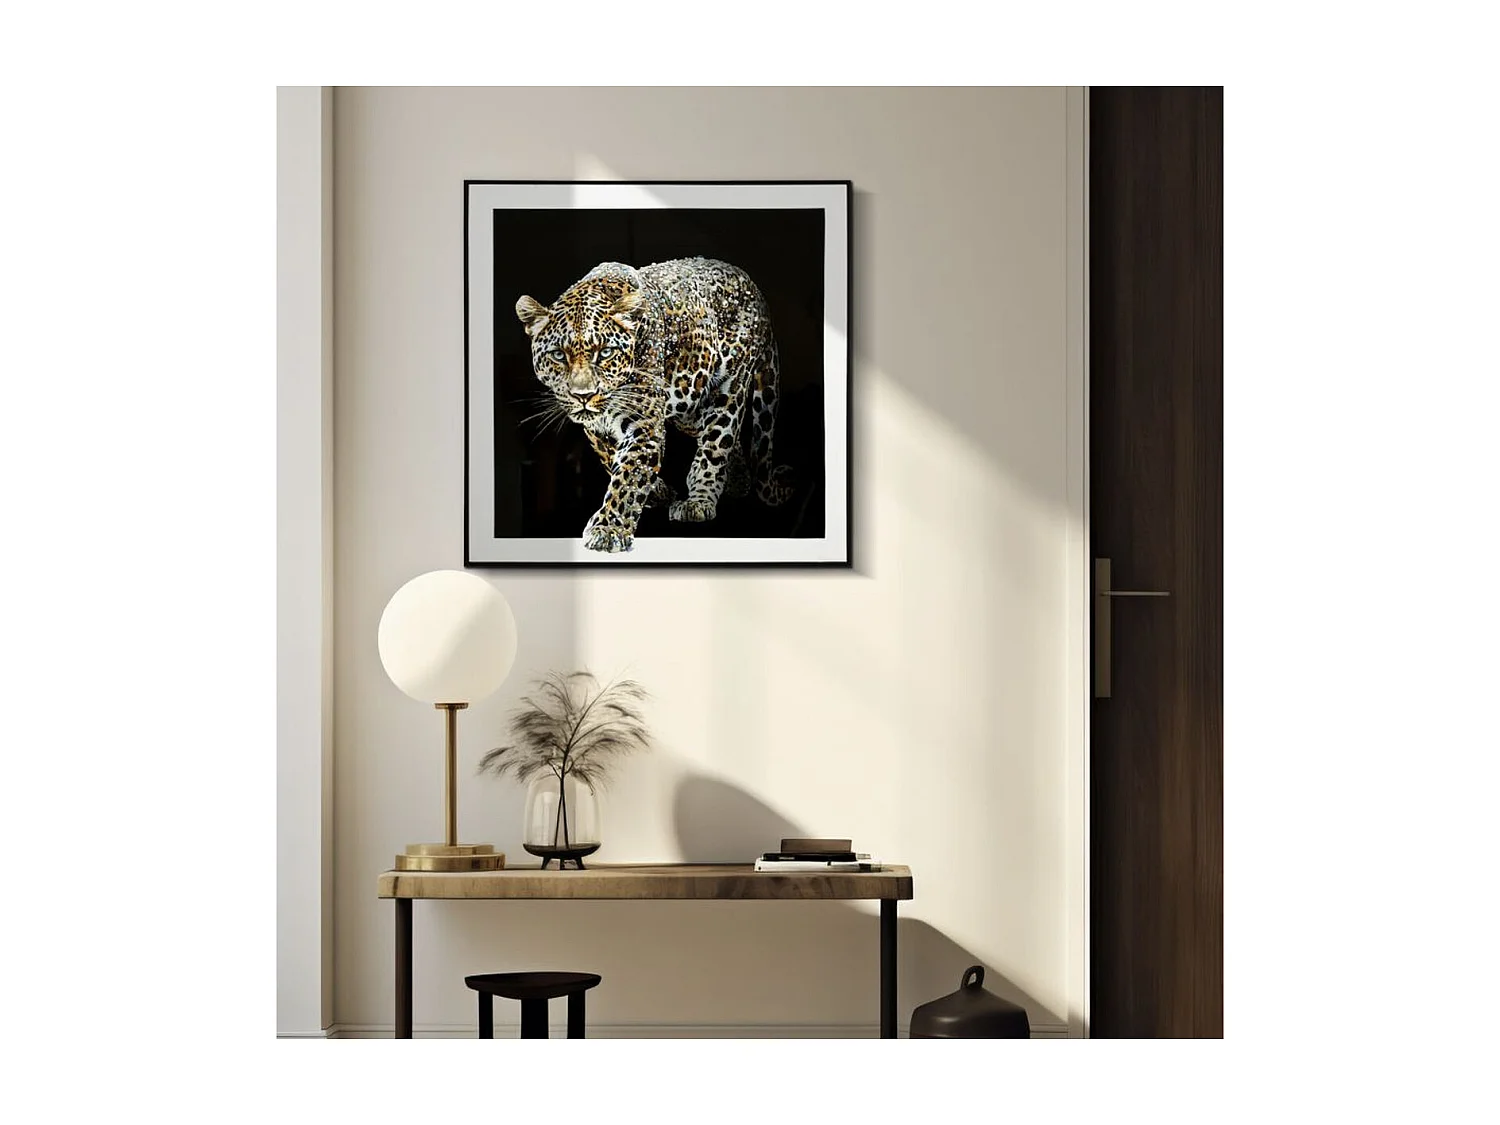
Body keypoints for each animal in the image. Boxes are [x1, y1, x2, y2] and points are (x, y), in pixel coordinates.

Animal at [516, 257, 794, 553]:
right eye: (558, 355)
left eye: (605, 353)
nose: (584, 395)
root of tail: (754, 288)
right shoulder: (596, 429)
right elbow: (612, 457)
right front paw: (656, 491)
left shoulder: (644, 424)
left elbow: (628, 475)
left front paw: (608, 529)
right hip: (689, 402)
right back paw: (738, 482)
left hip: (729, 387)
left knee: (716, 443)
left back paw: (699, 500)